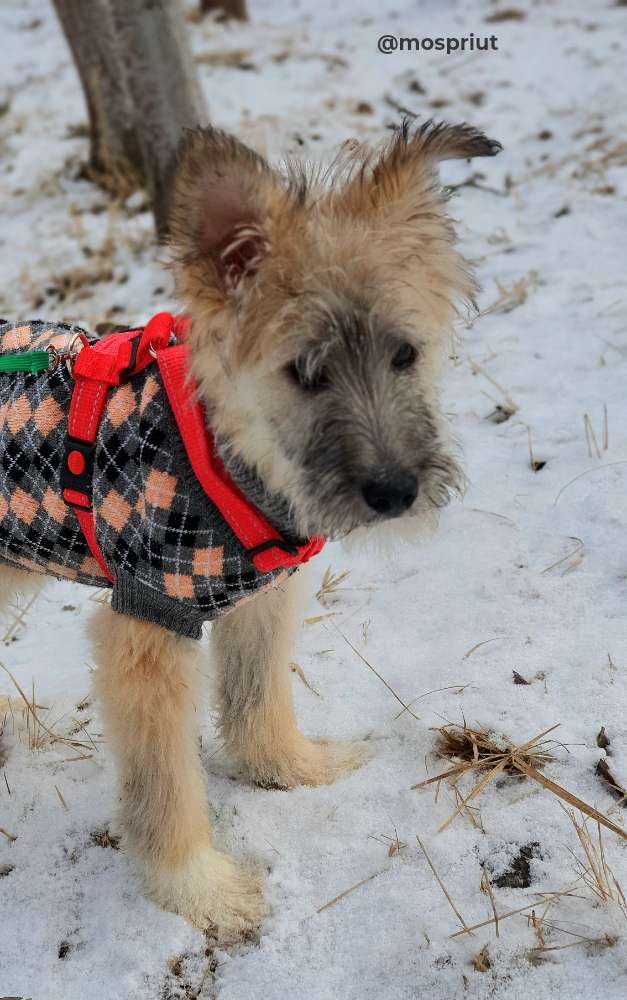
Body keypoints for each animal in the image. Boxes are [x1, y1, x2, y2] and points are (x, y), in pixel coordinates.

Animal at [0, 121, 500, 940]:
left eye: (404, 353)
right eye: (305, 372)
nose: (394, 493)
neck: (224, 455)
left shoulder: (261, 597)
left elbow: (258, 700)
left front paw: (292, 769)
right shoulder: (146, 633)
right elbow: (167, 786)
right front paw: (199, 890)